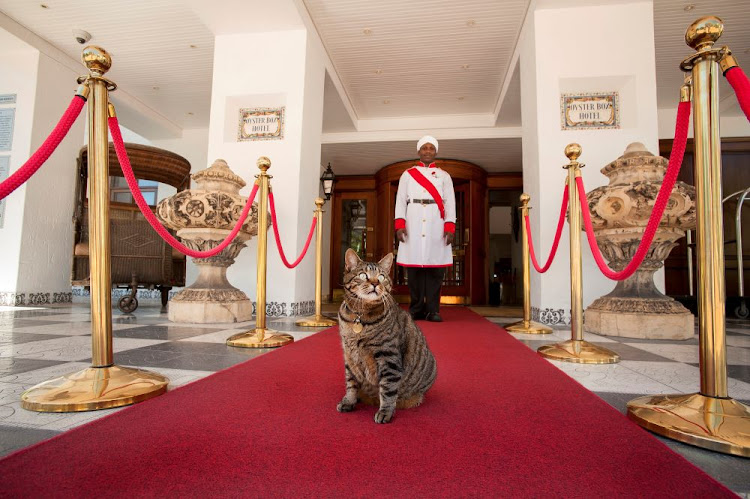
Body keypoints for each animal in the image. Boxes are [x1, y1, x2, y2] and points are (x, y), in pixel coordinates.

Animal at [338, 248, 438, 424]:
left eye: (381, 277)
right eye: (363, 275)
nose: (375, 283)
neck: (359, 316)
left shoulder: (388, 357)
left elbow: (388, 390)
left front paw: (385, 412)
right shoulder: (349, 356)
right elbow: (351, 382)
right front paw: (349, 401)